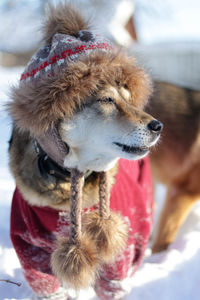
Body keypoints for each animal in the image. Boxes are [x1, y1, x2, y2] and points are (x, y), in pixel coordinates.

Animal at [7, 2, 162, 300]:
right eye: (106, 99)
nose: (158, 125)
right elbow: (47, 284)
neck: (69, 180)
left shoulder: (117, 256)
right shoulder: (30, 250)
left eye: (129, 100)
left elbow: (113, 281)